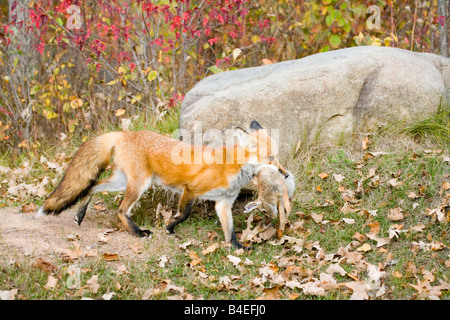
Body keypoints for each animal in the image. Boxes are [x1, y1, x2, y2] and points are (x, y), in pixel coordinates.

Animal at [37, 121, 286, 249]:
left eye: (278, 157)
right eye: (270, 158)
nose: (286, 174)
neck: (233, 166)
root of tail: (124, 134)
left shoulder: (223, 203)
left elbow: (230, 231)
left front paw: (237, 247)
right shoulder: (191, 189)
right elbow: (184, 214)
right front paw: (169, 227)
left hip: (121, 182)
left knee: (92, 186)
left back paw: (80, 214)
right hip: (140, 184)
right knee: (120, 210)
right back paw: (138, 233)